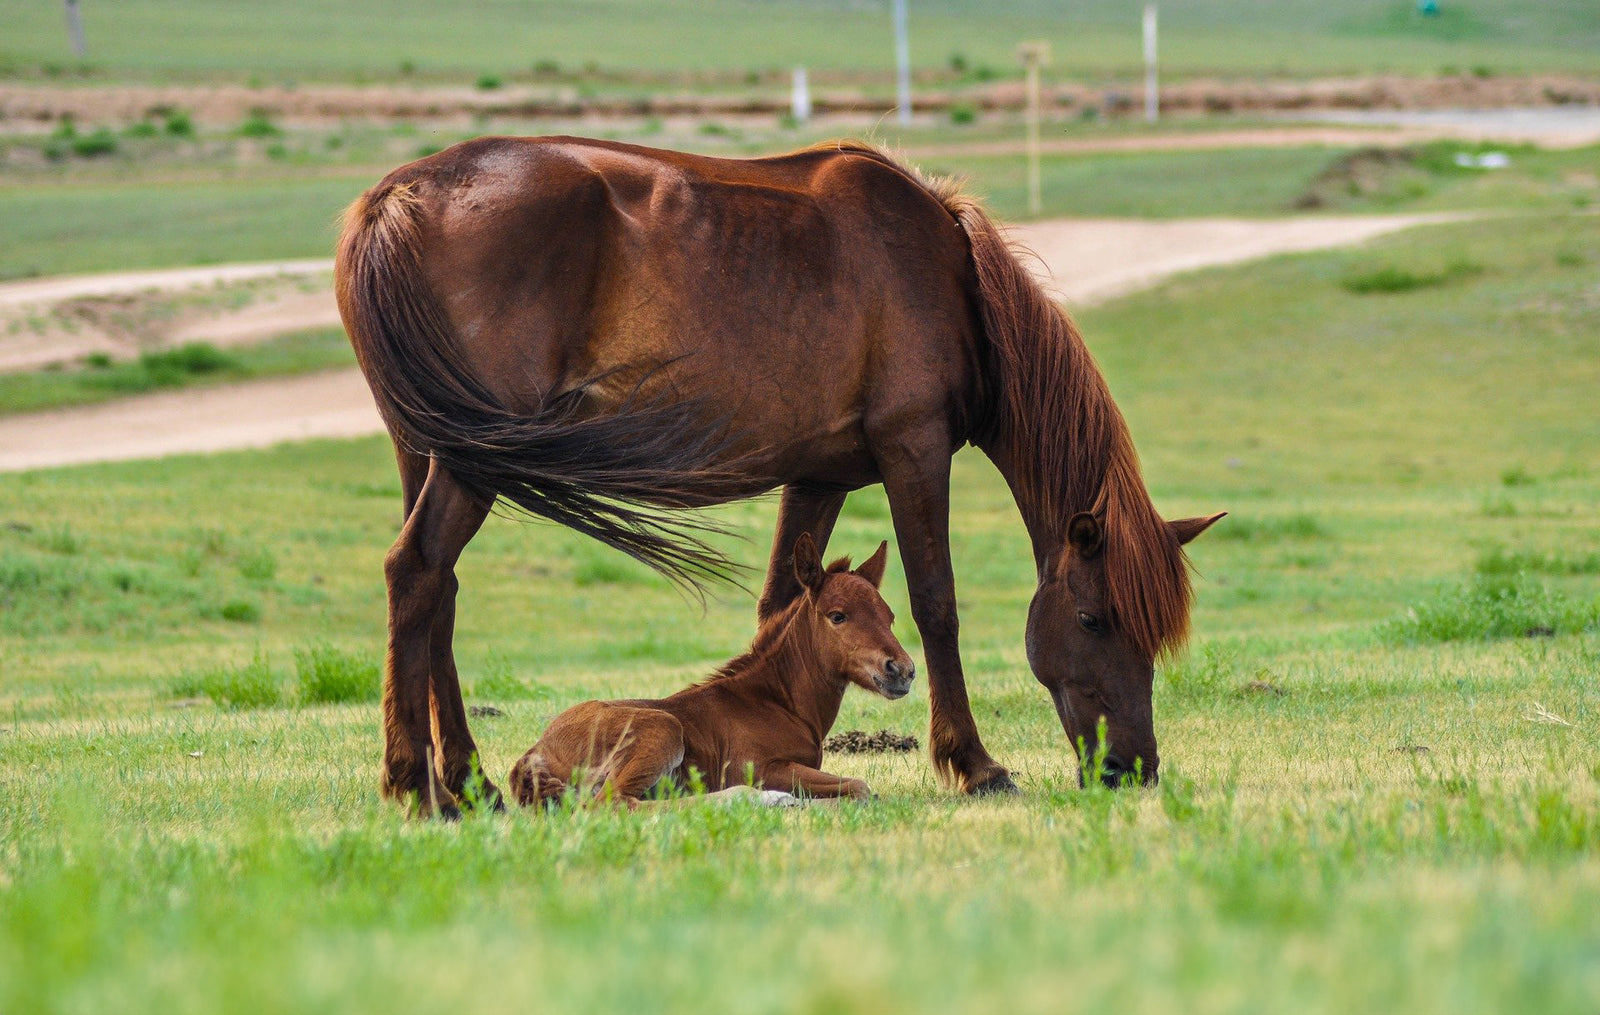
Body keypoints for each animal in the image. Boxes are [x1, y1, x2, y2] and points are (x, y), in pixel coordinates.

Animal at [512, 528, 915, 806]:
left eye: (890, 616)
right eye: (837, 616)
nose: (902, 670)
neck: (778, 702)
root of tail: (535, 753)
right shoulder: (763, 767)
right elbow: (860, 788)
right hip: (662, 729)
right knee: (613, 804)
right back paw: (759, 799)